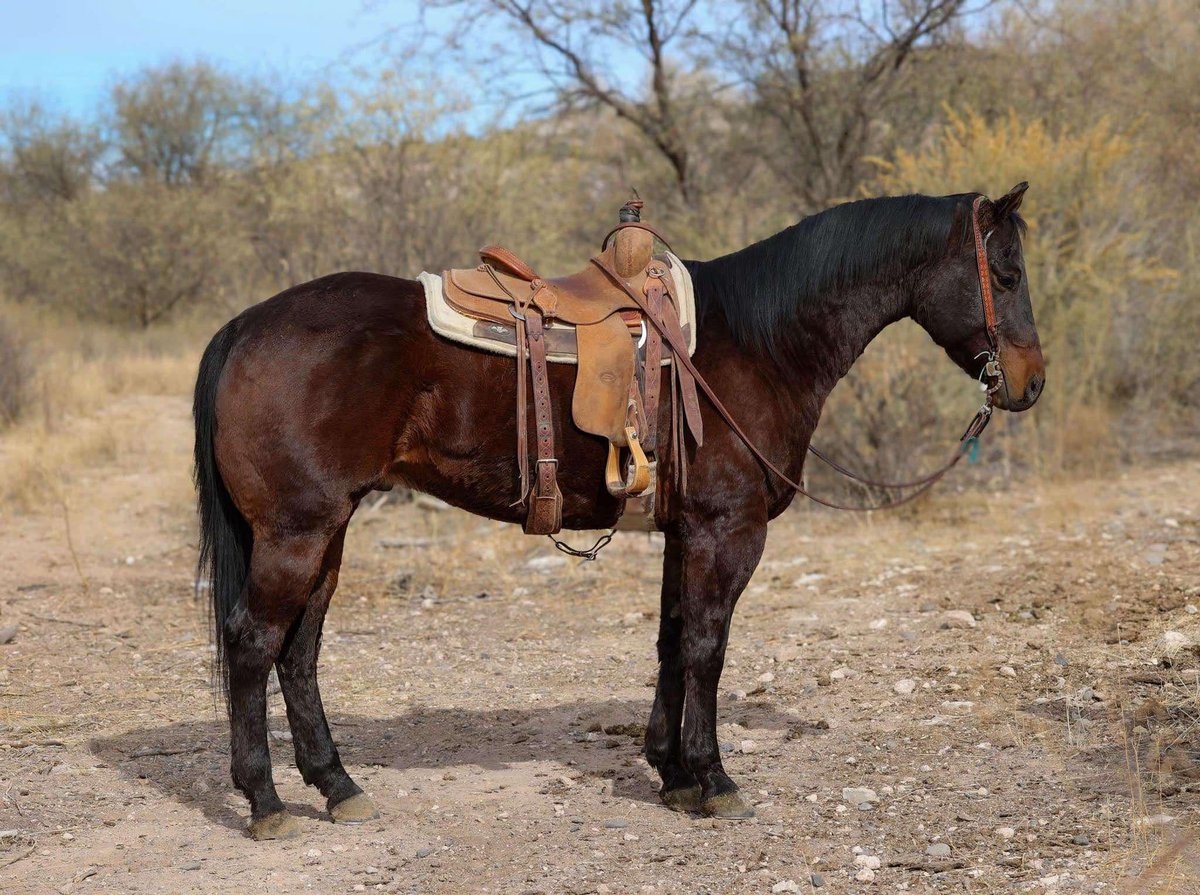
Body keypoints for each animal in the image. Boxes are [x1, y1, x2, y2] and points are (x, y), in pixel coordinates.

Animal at [193, 183, 1045, 839]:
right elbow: (706, 647)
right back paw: (265, 800)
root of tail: (245, 324)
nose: (1029, 382)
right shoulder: (725, 530)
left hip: (328, 532)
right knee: (253, 645)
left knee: (299, 652)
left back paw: (337, 785)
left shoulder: (682, 533)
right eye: (1005, 275)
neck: (758, 343)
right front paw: (714, 779)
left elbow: (671, 641)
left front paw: (671, 773)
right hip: (296, 534)